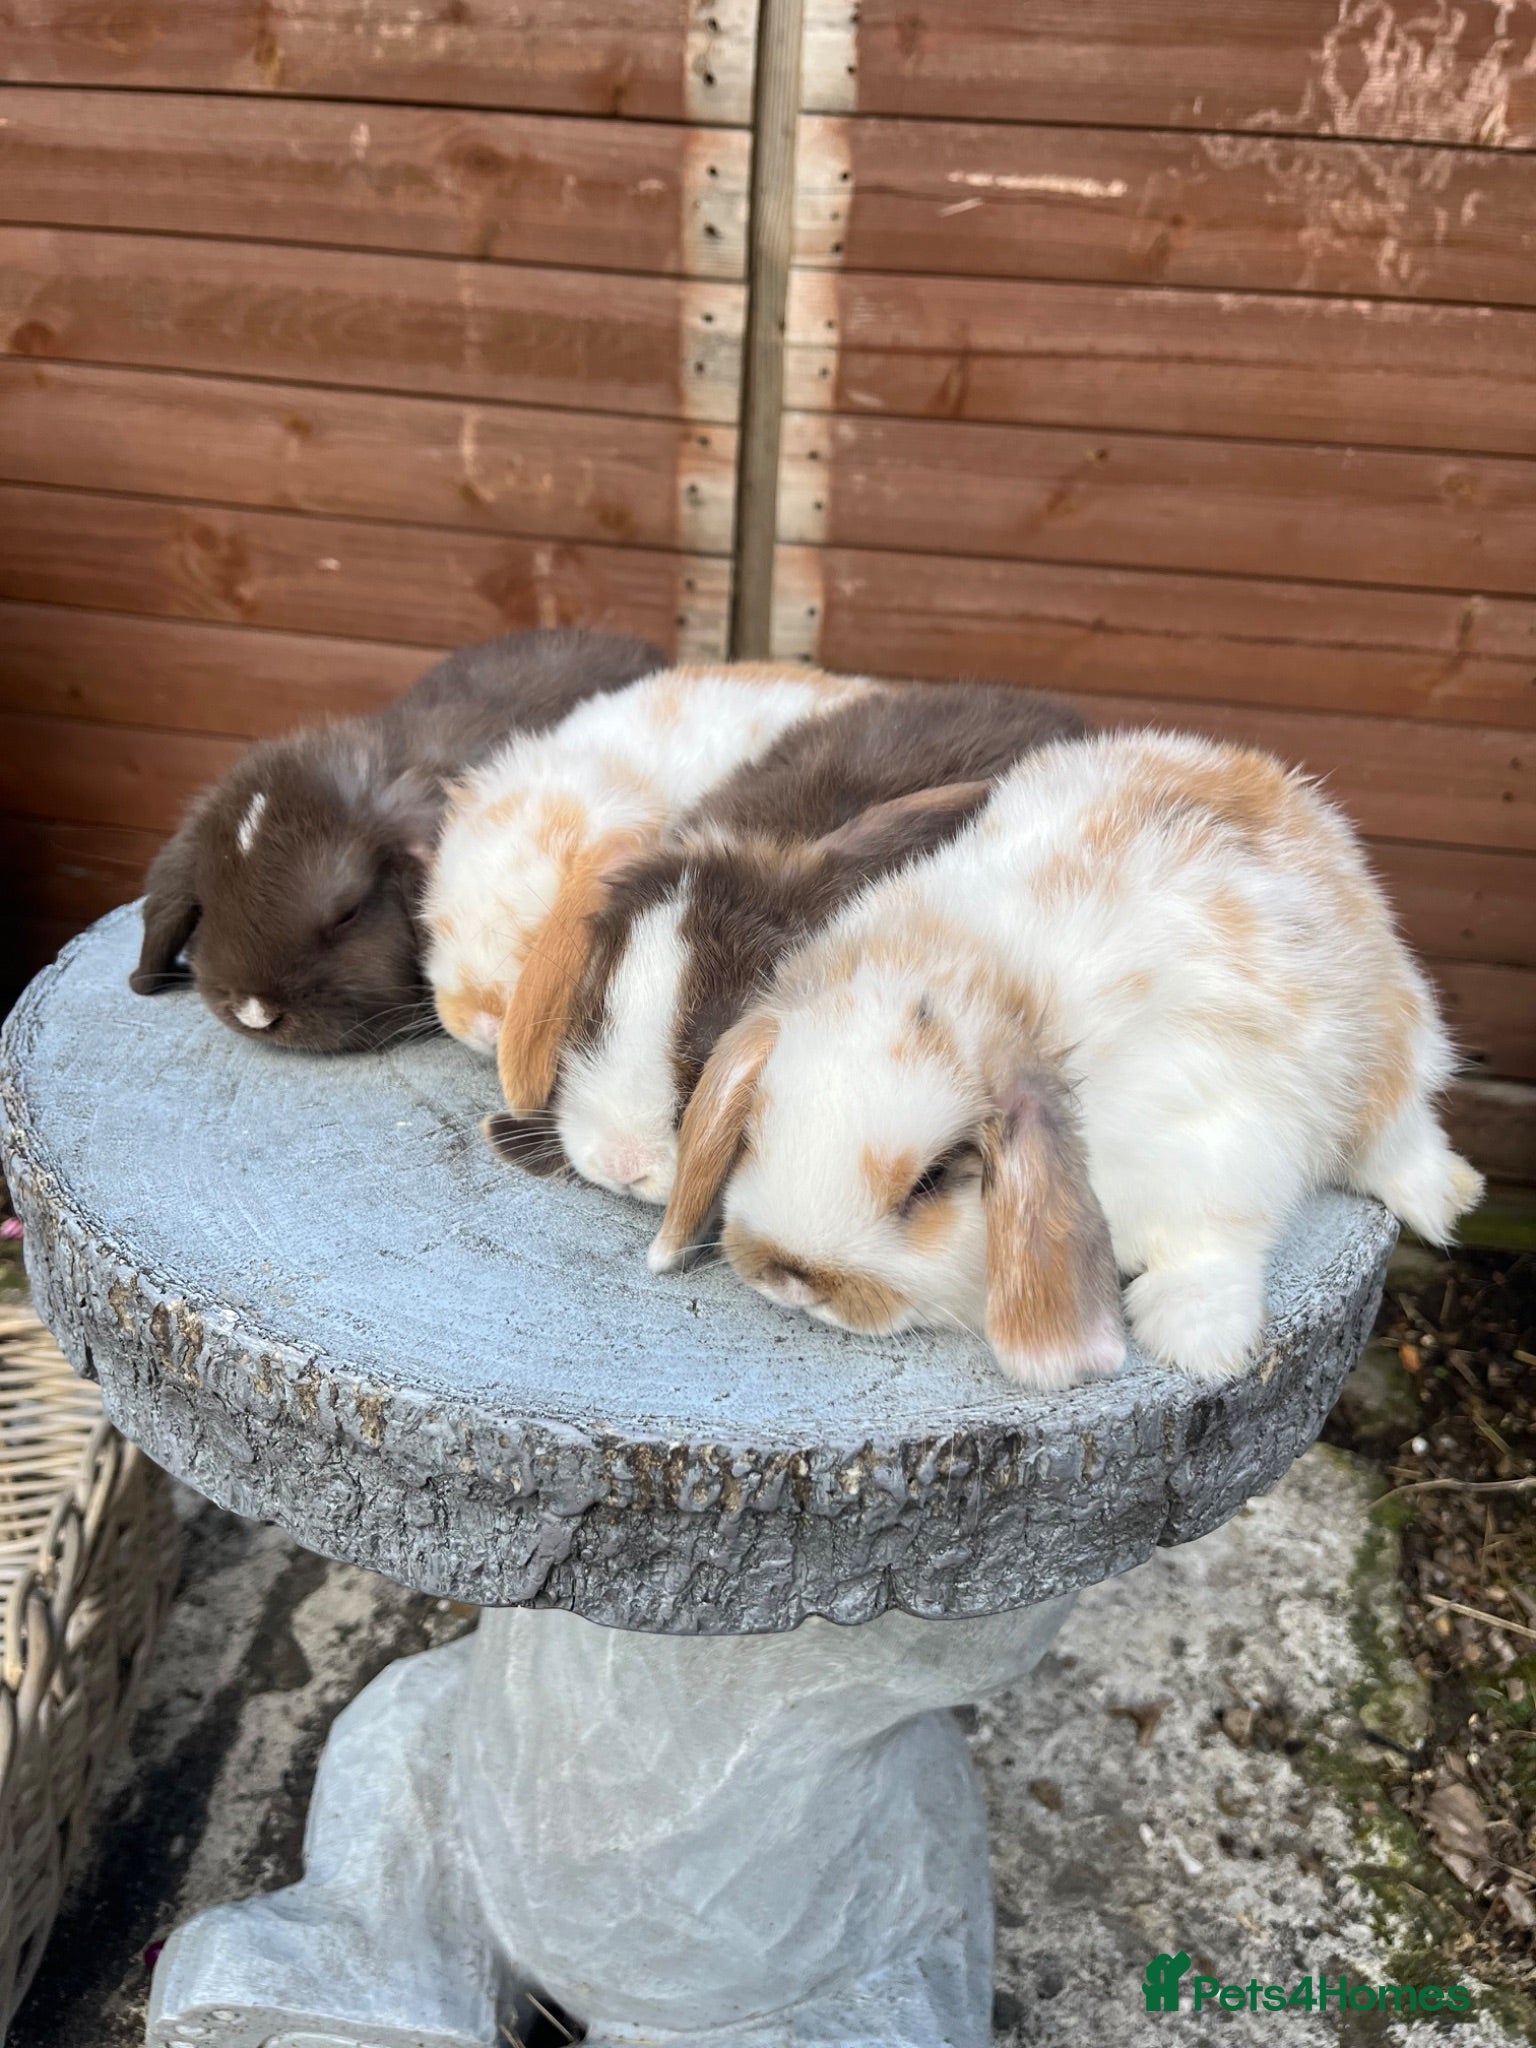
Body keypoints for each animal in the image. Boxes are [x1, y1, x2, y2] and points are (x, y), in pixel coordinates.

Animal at [647, 728, 1483, 1390]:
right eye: (756, 1134)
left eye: (933, 1180)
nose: (792, 1275)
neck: (991, 987)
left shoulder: (1220, 1149)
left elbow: (1213, 1244)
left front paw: (1198, 1344)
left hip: (1381, 1053)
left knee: (1401, 1138)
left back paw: (1447, 1200)